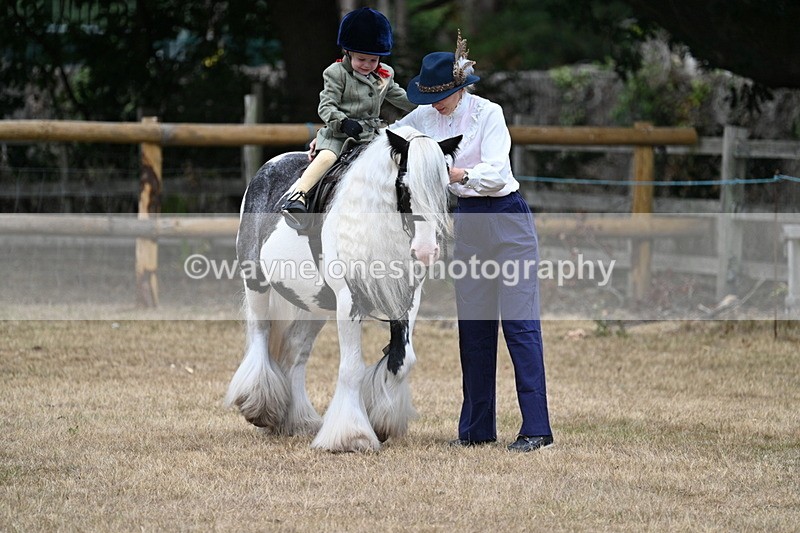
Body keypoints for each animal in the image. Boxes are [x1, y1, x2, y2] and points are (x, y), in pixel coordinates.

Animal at [225, 126, 461, 452]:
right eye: (403, 186)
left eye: (445, 186)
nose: (426, 251)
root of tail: (267, 168)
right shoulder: (350, 302)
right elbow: (352, 367)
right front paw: (352, 436)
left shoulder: (406, 300)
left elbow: (401, 360)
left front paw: (382, 421)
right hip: (257, 283)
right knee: (261, 334)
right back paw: (260, 407)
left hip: (314, 305)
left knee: (296, 352)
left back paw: (298, 420)